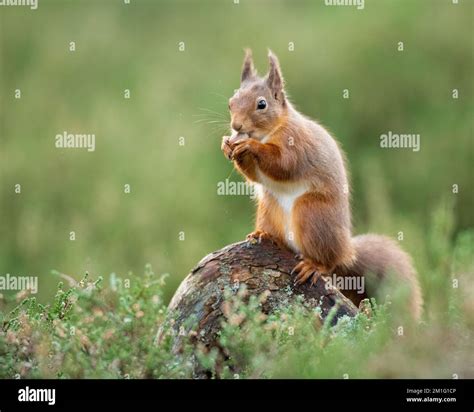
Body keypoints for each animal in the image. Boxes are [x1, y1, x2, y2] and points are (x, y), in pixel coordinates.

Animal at [221, 49, 422, 318]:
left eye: (261, 104)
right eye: (231, 102)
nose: (236, 126)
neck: (271, 131)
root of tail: (347, 250)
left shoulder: (297, 145)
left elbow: (283, 164)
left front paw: (250, 146)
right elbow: (255, 176)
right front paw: (227, 145)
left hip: (312, 213)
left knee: (328, 261)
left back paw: (314, 266)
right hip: (269, 207)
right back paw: (265, 235)